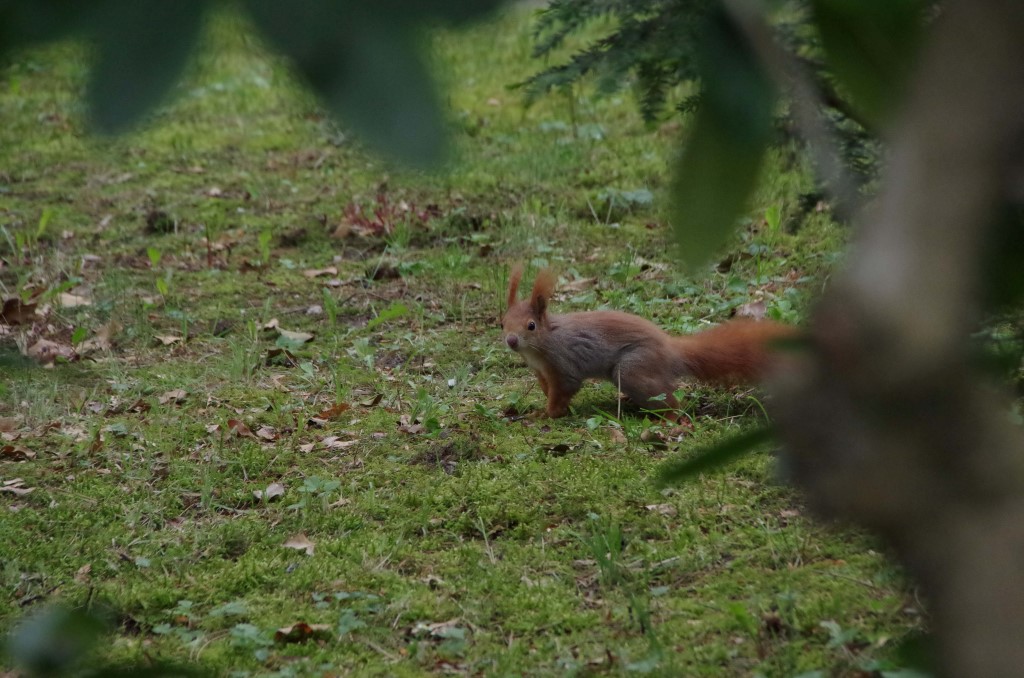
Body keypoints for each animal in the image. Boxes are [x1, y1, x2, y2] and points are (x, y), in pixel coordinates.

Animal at [499, 266, 794, 419]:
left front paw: (546, 413)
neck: (541, 345)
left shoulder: (563, 364)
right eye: (502, 323)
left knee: (671, 402)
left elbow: (563, 390)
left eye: (531, 326)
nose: (511, 341)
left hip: (634, 369)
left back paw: (670, 419)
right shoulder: (542, 371)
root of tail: (672, 352)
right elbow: (548, 389)